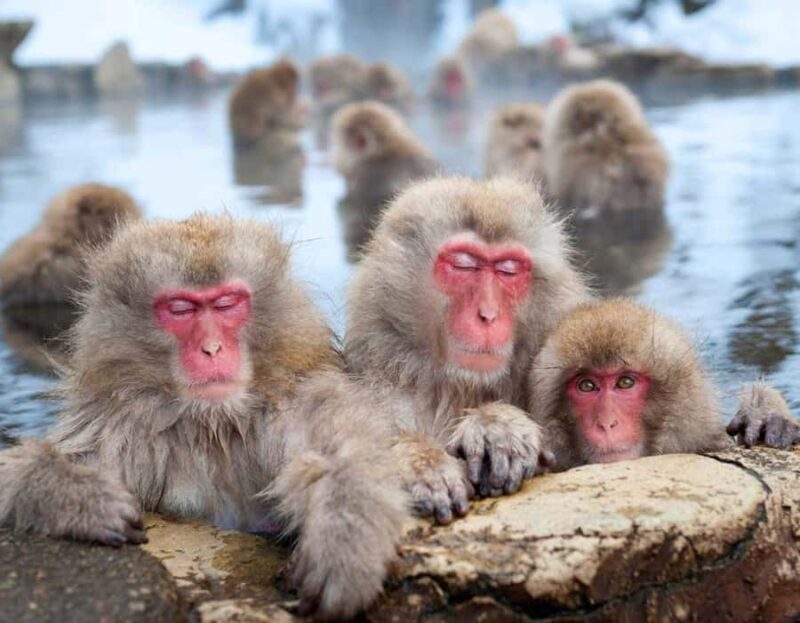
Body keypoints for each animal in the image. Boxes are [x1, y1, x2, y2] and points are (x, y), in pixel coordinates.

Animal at [0, 214, 408, 620]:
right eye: (181, 309)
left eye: (226, 303)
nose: (211, 349)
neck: (214, 425)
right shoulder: (120, 427)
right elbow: (15, 474)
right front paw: (78, 497)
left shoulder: (295, 404)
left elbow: (343, 452)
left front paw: (344, 544)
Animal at [343, 176, 591, 524]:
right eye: (464, 265)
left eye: (508, 270)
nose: (488, 315)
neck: (460, 387)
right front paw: (420, 462)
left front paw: (498, 426)